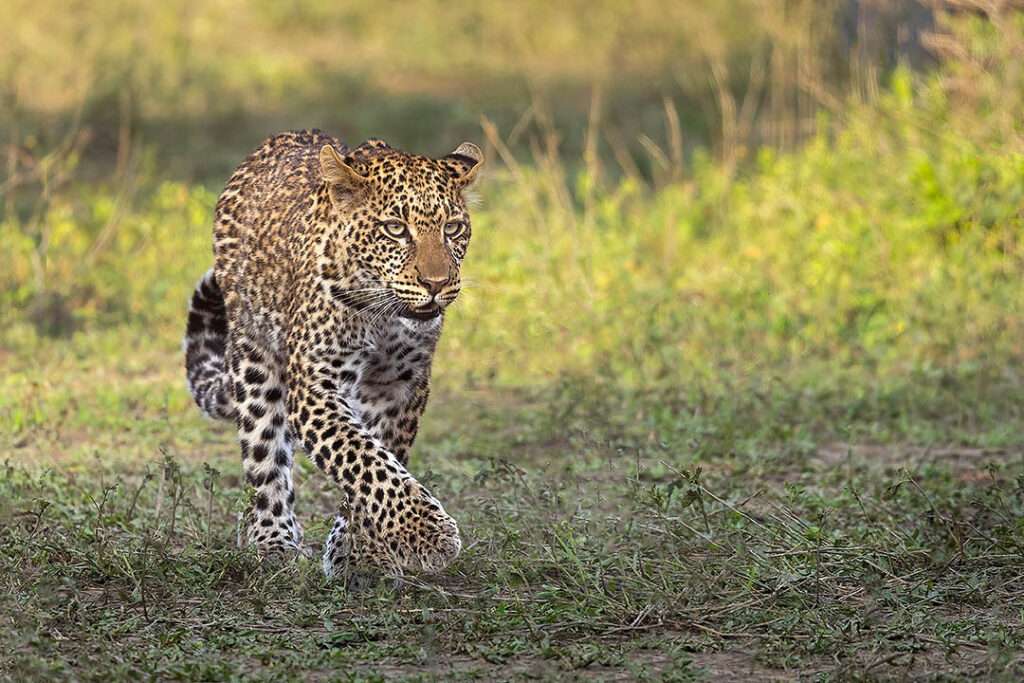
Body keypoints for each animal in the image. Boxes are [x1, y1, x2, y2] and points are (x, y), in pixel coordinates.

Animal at [183, 129, 482, 582]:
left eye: (453, 228)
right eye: (395, 229)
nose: (437, 283)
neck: (384, 315)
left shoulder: (399, 386)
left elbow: (376, 459)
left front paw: (359, 553)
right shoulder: (314, 385)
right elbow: (362, 457)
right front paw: (427, 534)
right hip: (255, 359)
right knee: (264, 455)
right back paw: (272, 541)